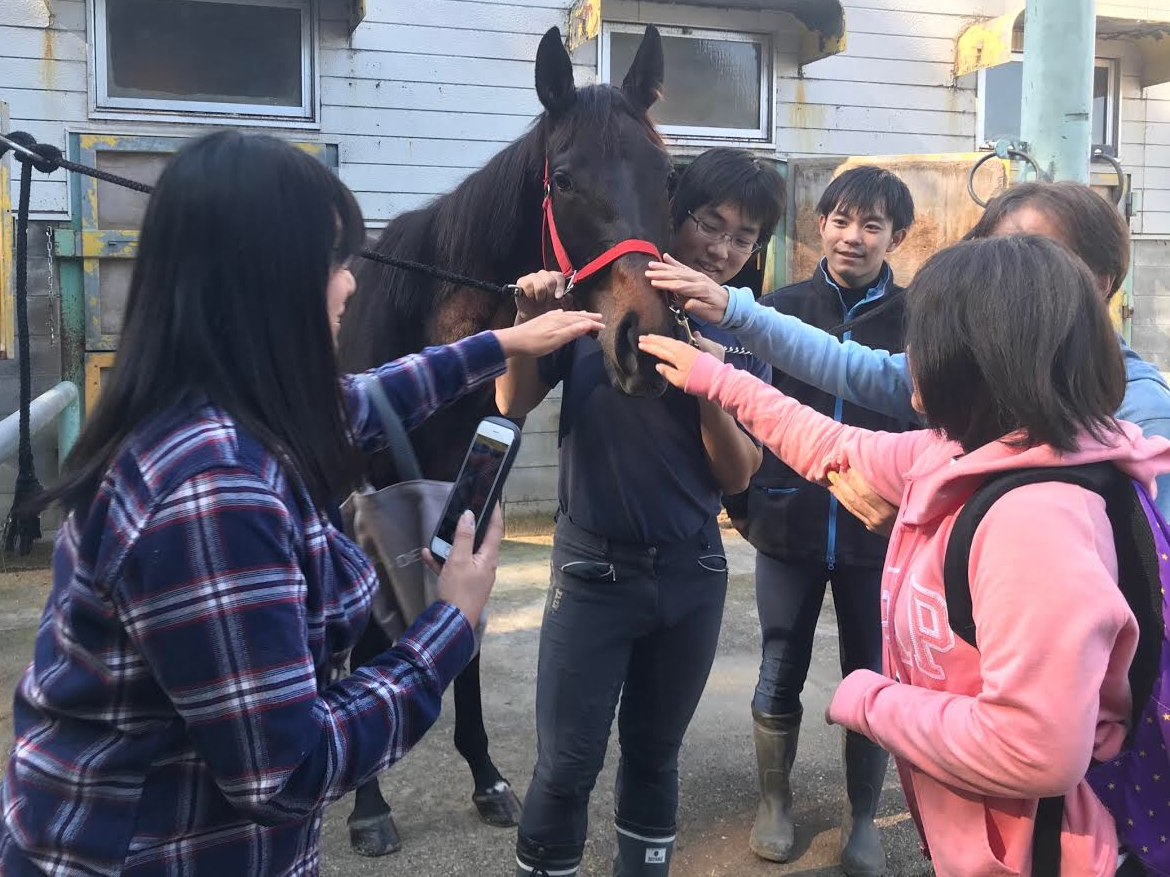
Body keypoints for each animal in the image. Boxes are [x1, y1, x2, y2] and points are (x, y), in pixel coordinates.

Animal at [334, 22, 678, 860]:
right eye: (565, 178)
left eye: (667, 176)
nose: (644, 341)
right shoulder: (371, 499)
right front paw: (368, 803)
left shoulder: (467, 490)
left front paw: (486, 773)